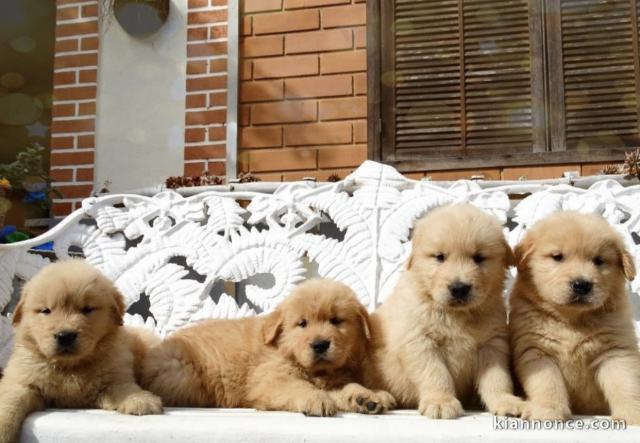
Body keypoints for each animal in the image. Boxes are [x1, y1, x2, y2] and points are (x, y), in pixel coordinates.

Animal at [0, 260, 162, 443]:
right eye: (46, 310)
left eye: (87, 309)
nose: (65, 336)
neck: (70, 367)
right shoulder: (22, 381)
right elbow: (10, 401)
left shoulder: (116, 375)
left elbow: (125, 388)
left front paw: (139, 399)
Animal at [142, 280, 396, 418]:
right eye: (302, 324)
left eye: (336, 321)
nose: (320, 344)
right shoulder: (271, 380)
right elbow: (298, 387)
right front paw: (315, 399)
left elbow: (345, 387)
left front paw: (368, 397)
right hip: (184, 373)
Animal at [364, 205, 524, 420]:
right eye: (440, 257)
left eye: (479, 258)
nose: (459, 288)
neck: (455, 315)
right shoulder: (420, 341)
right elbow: (435, 373)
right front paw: (440, 401)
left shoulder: (492, 344)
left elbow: (497, 378)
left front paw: (505, 401)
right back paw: (373, 398)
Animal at [510, 213, 640, 424]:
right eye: (557, 257)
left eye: (599, 260)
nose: (581, 285)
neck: (572, 320)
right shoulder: (537, 351)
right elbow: (548, 384)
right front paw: (547, 410)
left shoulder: (616, 351)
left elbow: (626, 384)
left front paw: (633, 414)